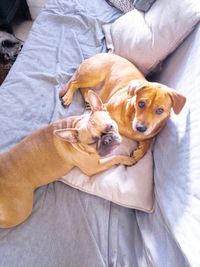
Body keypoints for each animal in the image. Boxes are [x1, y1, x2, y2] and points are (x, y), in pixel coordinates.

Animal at [0, 91, 134, 228]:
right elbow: (114, 158)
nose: (108, 140)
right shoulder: (93, 168)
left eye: (111, 126)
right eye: (92, 142)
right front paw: (127, 159)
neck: (75, 125)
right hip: (20, 211)